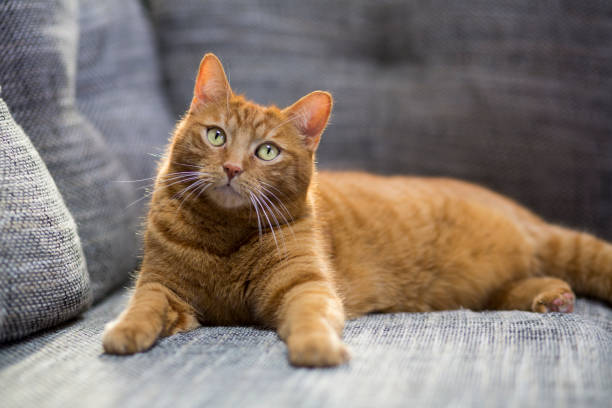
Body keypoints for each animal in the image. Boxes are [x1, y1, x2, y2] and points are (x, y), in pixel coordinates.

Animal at [103, 53, 612, 366]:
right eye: (216, 136)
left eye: (267, 152)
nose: (230, 167)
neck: (223, 238)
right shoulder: (162, 285)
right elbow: (144, 305)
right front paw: (125, 332)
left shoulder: (305, 284)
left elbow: (310, 316)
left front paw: (316, 348)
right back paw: (551, 296)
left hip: (550, 243)